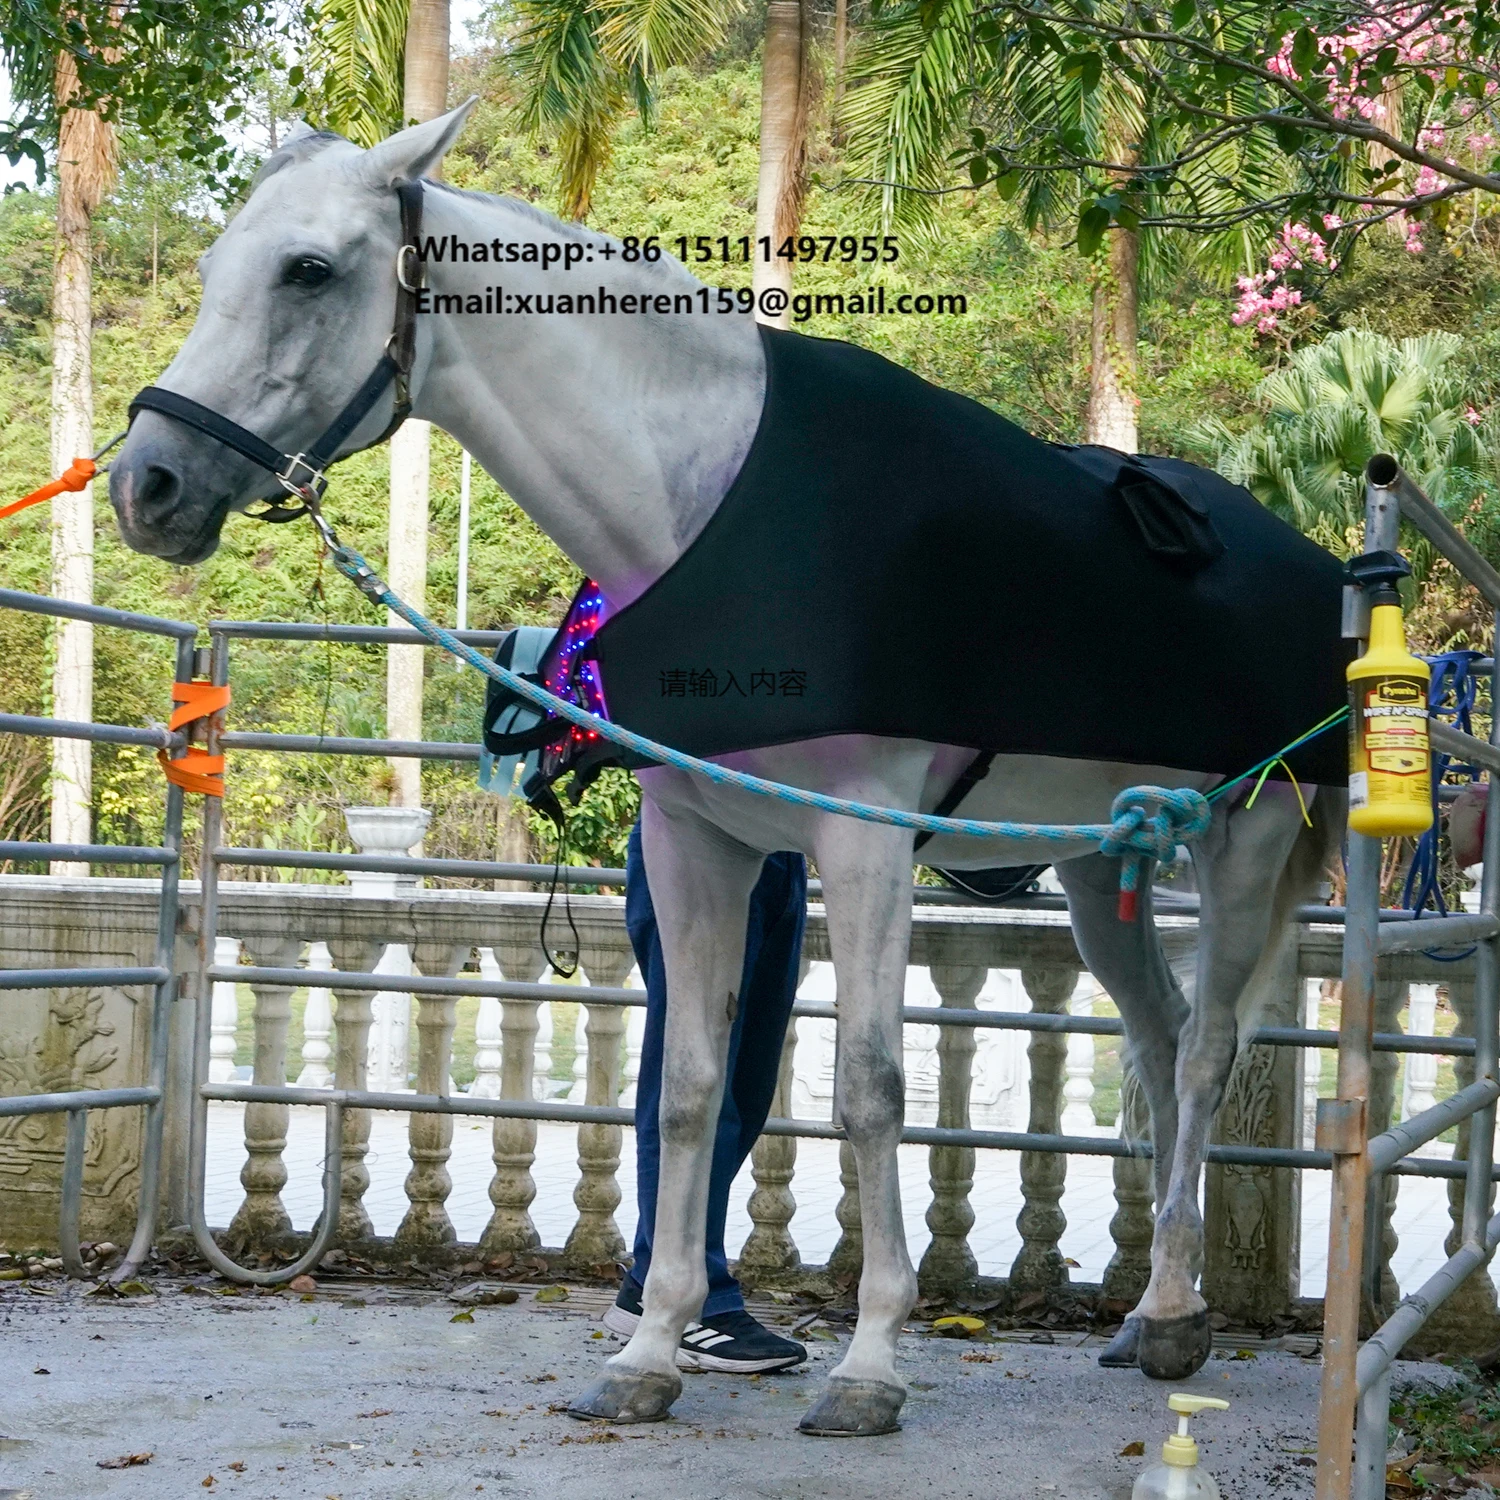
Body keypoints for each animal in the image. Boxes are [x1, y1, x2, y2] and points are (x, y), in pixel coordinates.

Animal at [108, 100, 1344, 1437]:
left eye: (309, 270)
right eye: (213, 268)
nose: (147, 485)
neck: (716, 505)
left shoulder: (864, 840)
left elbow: (869, 1085)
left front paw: (871, 1365)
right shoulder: (694, 842)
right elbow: (690, 1085)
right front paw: (650, 1353)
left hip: (1244, 845)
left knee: (1209, 1049)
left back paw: (1168, 1315)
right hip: (1097, 864)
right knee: (1160, 1042)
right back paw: (1154, 1308)